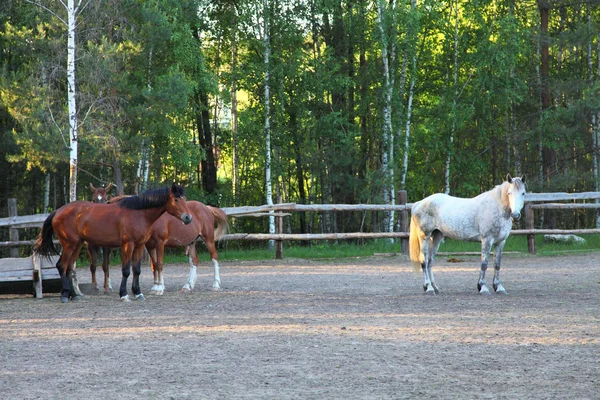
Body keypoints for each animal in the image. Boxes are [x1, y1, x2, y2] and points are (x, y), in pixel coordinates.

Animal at [33, 183, 192, 302]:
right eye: (176, 200)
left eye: (184, 198)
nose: (188, 218)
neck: (138, 213)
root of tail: (58, 211)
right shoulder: (128, 245)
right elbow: (126, 270)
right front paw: (124, 294)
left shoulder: (139, 246)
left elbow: (137, 270)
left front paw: (138, 293)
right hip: (69, 245)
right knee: (62, 265)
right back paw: (65, 295)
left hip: (77, 245)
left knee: (69, 268)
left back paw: (74, 295)